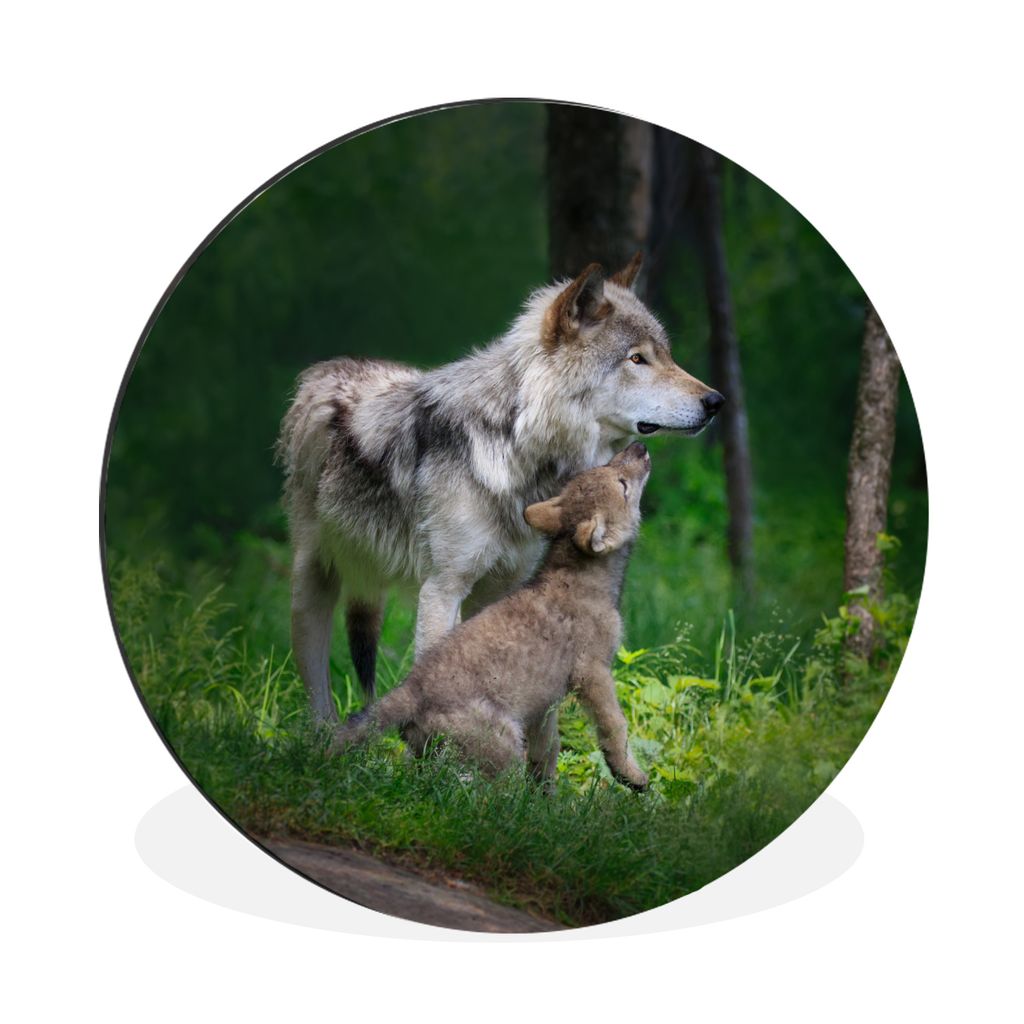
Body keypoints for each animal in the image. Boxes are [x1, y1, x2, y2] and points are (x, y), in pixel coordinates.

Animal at [277, 254, 723, 723]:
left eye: (666, 355)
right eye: (636, 359)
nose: (716, 402)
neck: (516, 447)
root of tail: (327, 369)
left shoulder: (503, 589)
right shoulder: (442, 589)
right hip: (311, 589)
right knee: (318, 693)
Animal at [333, 443, 654, 790]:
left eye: (606, 467)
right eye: (622, 485)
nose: (639, 447)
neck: (580, 576)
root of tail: (411, 688)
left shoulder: (544, 703)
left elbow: (547, 750)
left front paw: (546, 797)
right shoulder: (593, 672)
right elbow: (615, 726)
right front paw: (631, 775)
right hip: (504, 746)